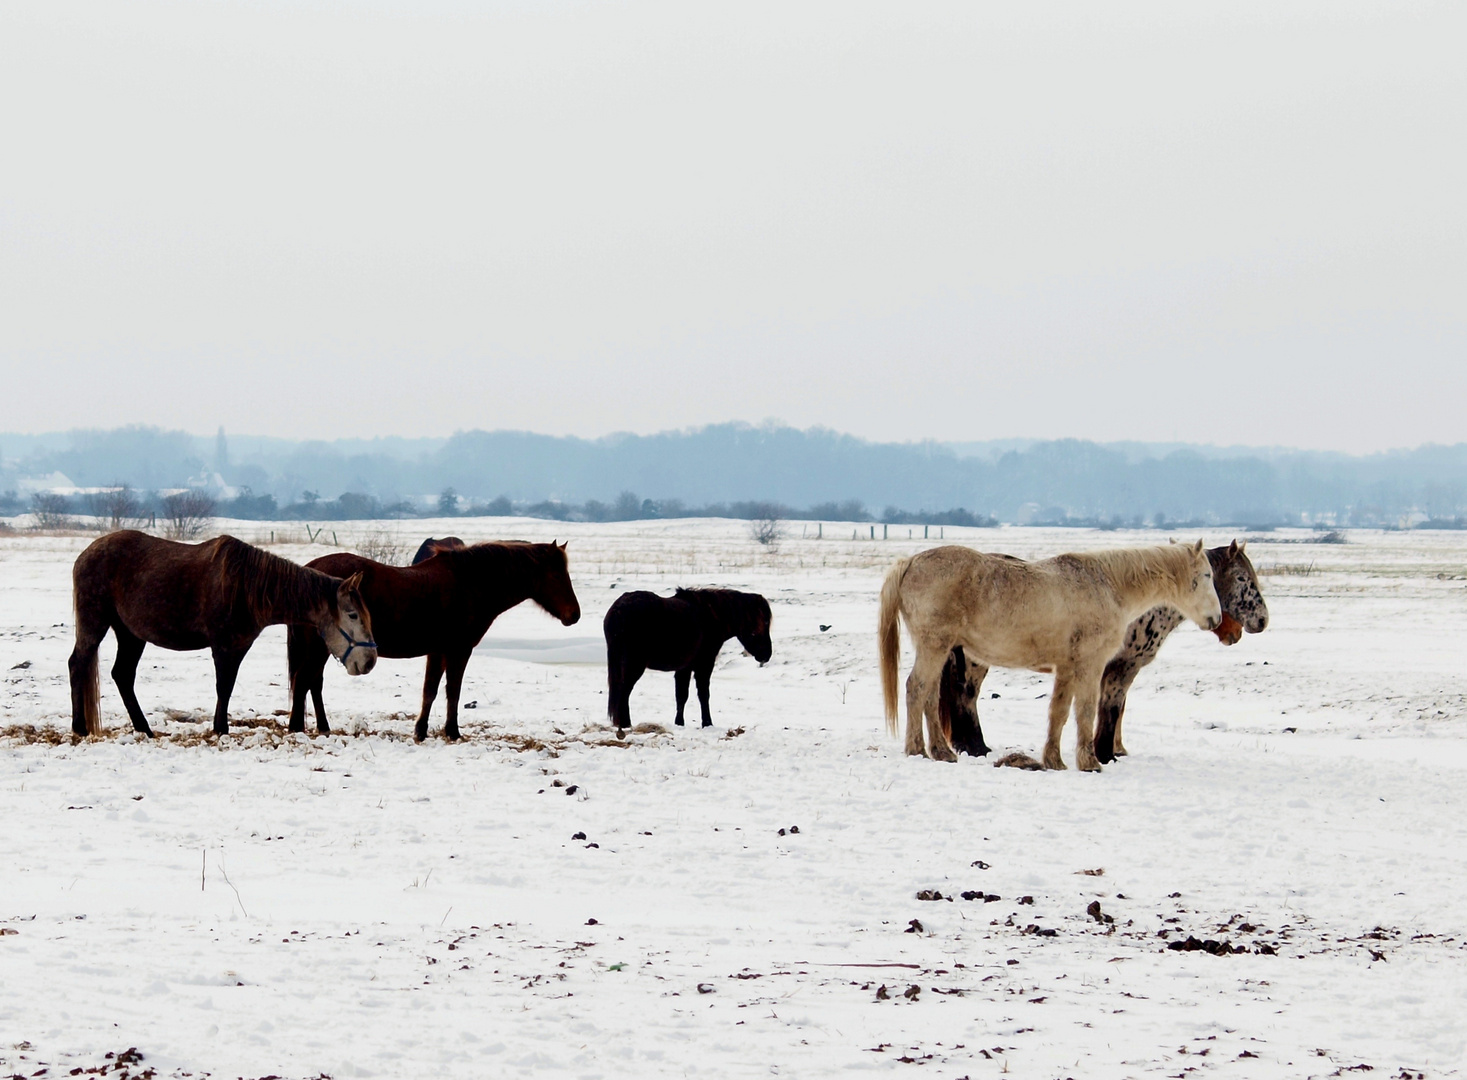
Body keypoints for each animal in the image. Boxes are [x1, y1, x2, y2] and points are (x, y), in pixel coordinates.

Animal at [71, 528, 375, 739]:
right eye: (352, 615)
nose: (369, 661)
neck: (246, 587)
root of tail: (86, 553)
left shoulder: (238, 647)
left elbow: (227, 686)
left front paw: (221, 727)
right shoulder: (222, 646)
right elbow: (223, 686)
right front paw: (220, 729)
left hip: (130, 634)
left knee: (122, 675)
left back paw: (144, 729)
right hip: (95, 623)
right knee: (78, 664)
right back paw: (80, 727)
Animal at [283, 537, 580, 739]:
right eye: (556, 574)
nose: (574, 615)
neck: (469, 583)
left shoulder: (437, 652)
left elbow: (431, 690)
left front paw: (421, 730)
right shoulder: (459, 650)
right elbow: (452, 691)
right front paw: (452, 731)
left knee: (313, 684)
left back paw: (323, 728)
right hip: (318, 649)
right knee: (304, 682)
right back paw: (297, 728)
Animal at [601, 589, 774, 733]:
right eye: (764, 622)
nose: (767, 654)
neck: (710, 616)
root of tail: (619, 609)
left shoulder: (684, 668)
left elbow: (681, 696)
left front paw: (679, 723)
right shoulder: (704, 665)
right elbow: (703, 694)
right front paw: (707, 723)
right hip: (634, 665)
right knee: (624, 690)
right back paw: (625, 724)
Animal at [938, 537, 1273, 757]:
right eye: (1242, 578)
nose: (1262, 620)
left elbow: (1112, 708)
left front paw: (1115, 748)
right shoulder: (1123, 666)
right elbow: (1111, 707)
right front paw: (1105, 752)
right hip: (975, 661)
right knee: (966, 696)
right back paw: (975, 747)